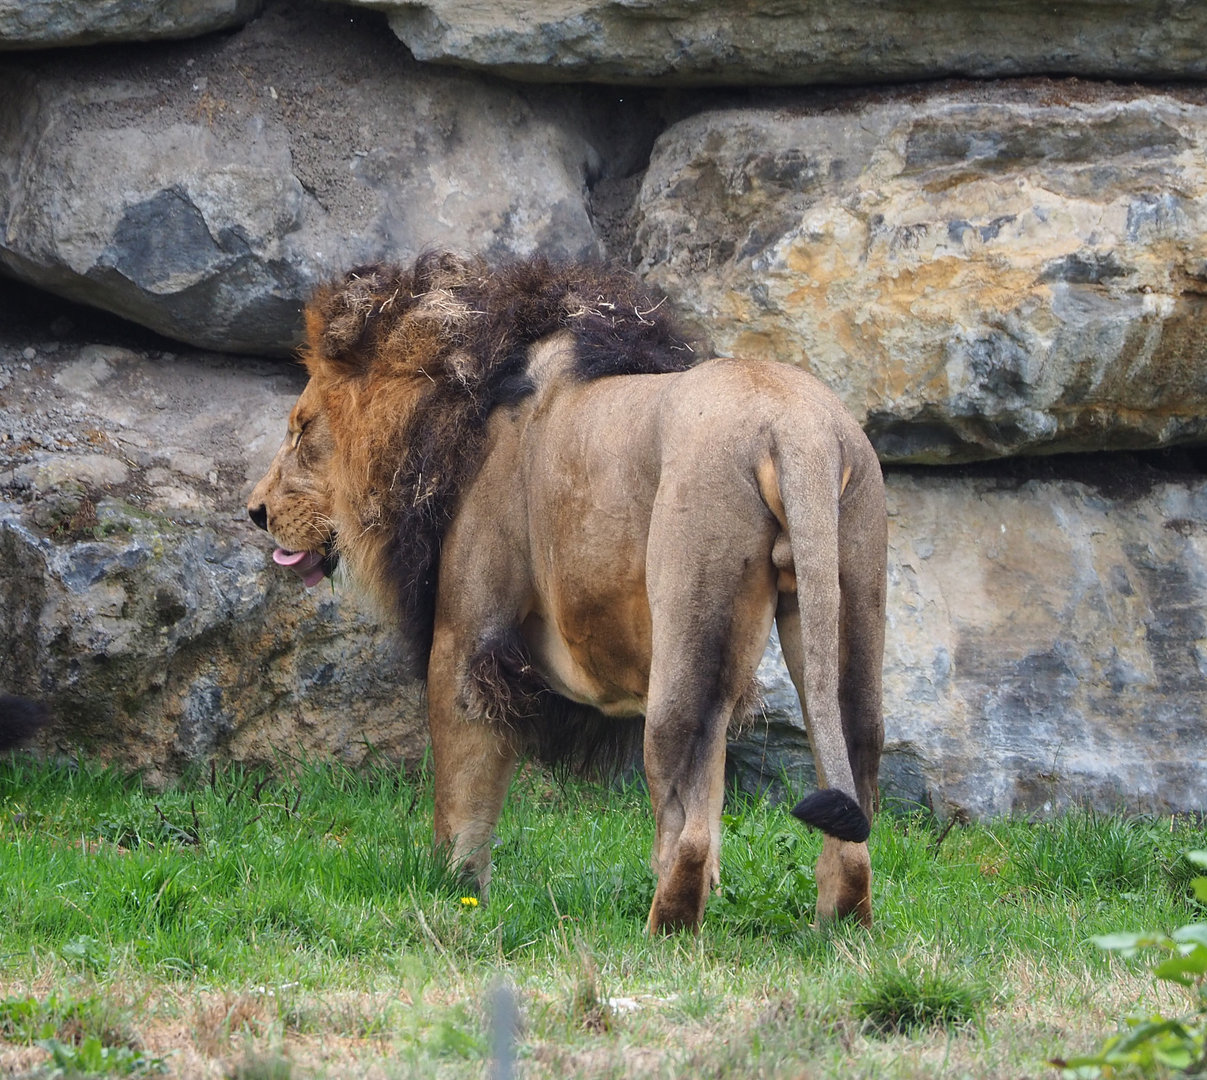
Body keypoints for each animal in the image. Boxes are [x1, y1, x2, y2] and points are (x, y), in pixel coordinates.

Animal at [248, 252, 886, 933]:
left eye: (301, 431)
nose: (255, 512)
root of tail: (794, 426)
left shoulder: (468, 635)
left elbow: (463, 792)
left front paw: (453, 889)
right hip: (849, 590)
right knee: (851, 783)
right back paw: (836, 929)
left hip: (690, 618)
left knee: (687, 819)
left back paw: (661, 935)